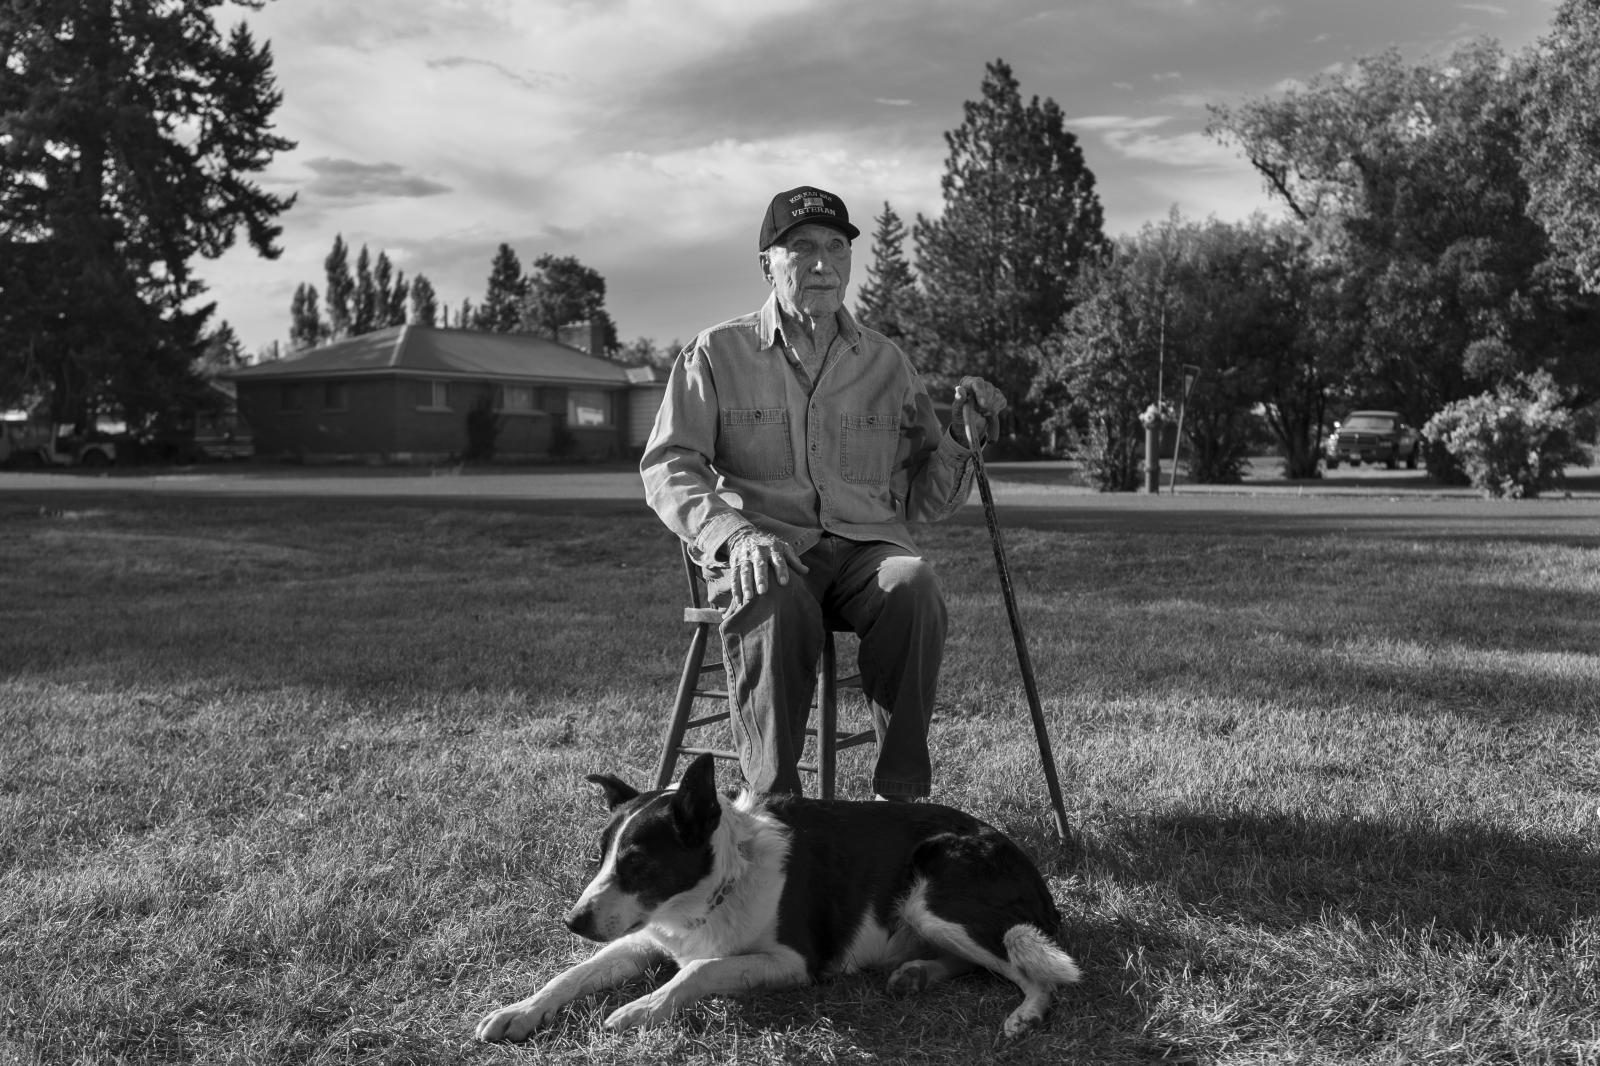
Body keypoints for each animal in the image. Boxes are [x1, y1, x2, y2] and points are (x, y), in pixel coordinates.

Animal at [470, 752, 1075, 1043]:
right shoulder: (641, 938)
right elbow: (571, 975)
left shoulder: (791, 963)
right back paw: (916, 974)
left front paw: (642, 1008)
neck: (714, 891)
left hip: (931, 895)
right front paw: (518, 1012)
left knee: (1034, 971)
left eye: (637, 862)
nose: (572, 922)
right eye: (600, 857)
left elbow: (700, 970)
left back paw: (1026, 1014)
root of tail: (1029, 866)